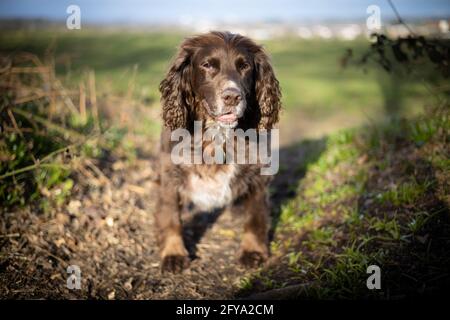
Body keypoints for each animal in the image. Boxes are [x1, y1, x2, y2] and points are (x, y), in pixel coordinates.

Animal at [156, 30, 282, 272]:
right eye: (207, 65)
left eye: (244, 66)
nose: (232, 96)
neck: (217, 134)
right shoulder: (169, 173)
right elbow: (171, 217)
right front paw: (174, 253)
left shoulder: (258, 175)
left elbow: (255, 216)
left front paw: (253, 251)